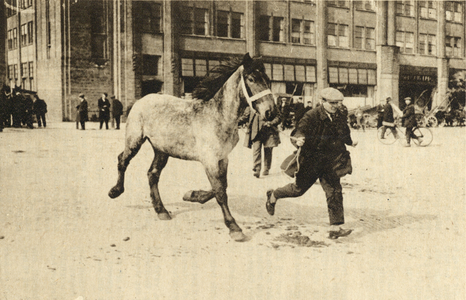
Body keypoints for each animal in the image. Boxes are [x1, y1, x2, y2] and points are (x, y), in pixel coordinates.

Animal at [108, 53, 276, 241]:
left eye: (268, 79)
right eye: (251, 79)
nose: (271, 112)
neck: (217, 116)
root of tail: (141, 100)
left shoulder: (222, 158)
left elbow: (222, 186)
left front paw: (193, 195)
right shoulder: (209, 160)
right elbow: (220, 191)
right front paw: (234, 228)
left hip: (162, 150)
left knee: (152, 174)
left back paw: (161, 210)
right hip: (135, 140)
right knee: (123, 160)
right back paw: (115, 191)